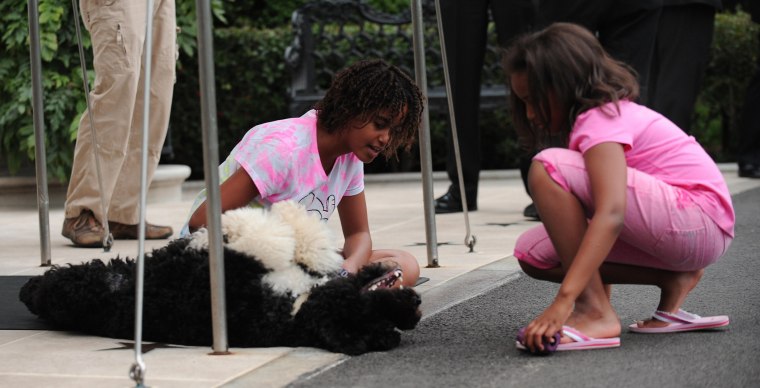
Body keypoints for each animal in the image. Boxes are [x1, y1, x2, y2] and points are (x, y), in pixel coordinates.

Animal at [20, 202, 422, 356]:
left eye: (376, 316)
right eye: (386, 312)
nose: (416, 303)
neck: (297, 309)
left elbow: (268, 239)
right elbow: (299, 243)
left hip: (85, 285)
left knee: (52, 286)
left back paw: (31, 289)